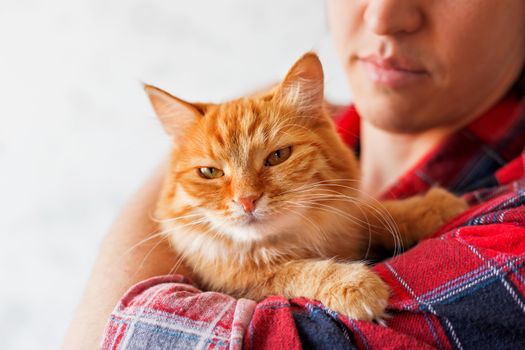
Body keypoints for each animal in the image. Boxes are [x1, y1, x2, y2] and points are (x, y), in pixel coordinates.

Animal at [142, 51, 462, 320]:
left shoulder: (346, 217)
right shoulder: (246, 286)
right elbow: (295, 272)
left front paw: (436, 206)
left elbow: (370, 212)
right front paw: (354, 284)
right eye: (210, 172)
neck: (292, 240)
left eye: (278, 156)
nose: (247, 200)